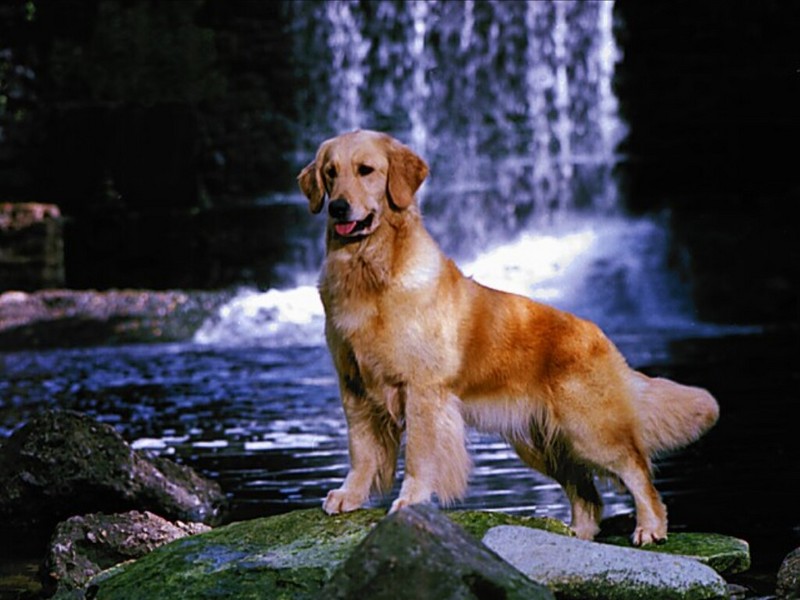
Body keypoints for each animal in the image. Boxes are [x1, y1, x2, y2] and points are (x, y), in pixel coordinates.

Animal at [296, 130, 720, 544]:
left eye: (366, 170)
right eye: (331, 173)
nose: (337, 207)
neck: (369, 272)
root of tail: (599, 335)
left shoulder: (423, 390)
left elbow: (418, 455)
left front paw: (410, 501)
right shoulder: (354, 387)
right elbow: (361, 451)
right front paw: (349, 495)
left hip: (589, 430)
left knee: (638, 472)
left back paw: (650, 528)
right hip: (542, 444)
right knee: (588, 493)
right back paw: (575, 536)